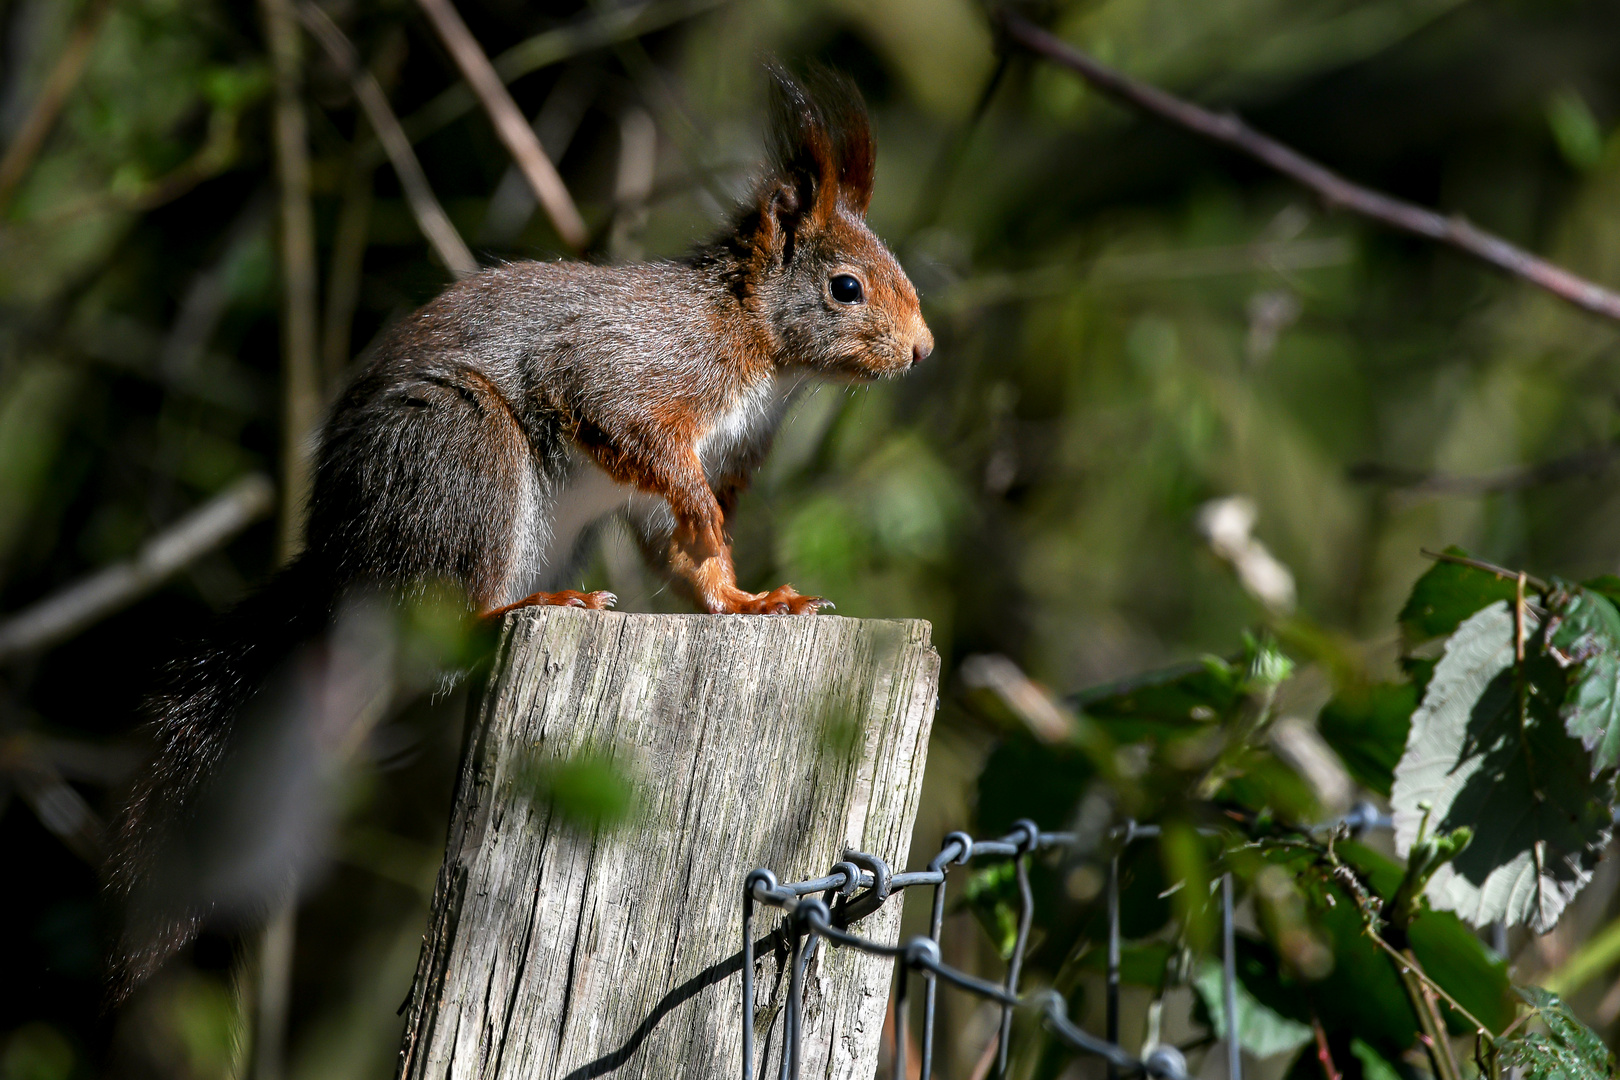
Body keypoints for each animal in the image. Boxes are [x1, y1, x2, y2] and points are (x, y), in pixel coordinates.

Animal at [101, 65, 933, 997]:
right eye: (846, 287)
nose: (924, 350)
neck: (756, 345)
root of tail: (343, 560)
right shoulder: (630, 368)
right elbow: (630, 429)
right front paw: (711, 521)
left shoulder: (704, 462)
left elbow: (691, 557)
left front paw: (753, 601)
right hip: (465, 459)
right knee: (443, 616)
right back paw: (527, 605)